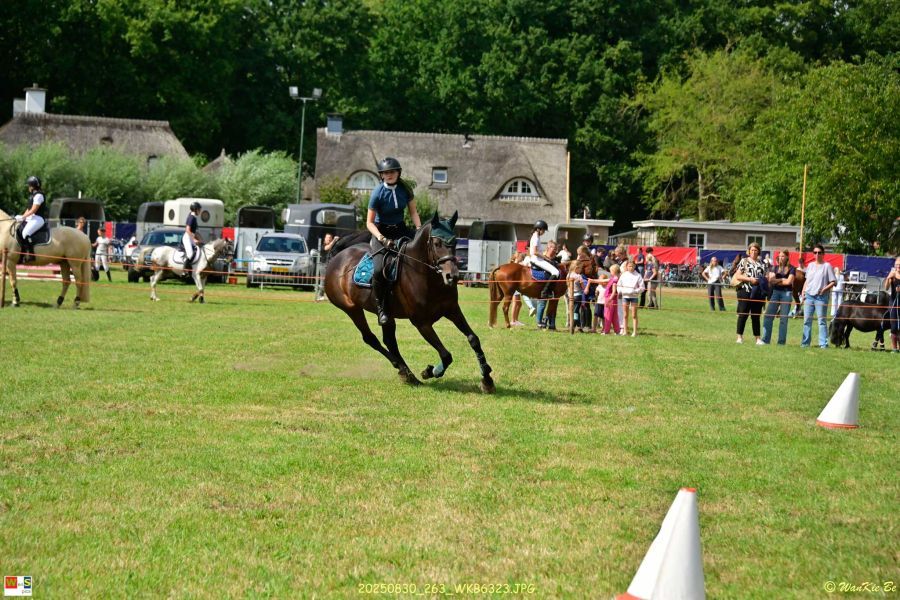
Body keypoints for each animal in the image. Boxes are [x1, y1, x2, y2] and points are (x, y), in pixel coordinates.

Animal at [324, 211, 495, 393]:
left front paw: (487, 378)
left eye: (455, 242)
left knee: (389, 341)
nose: (453, 276)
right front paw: (430, 371)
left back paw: (406, 373)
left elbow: (473, 339)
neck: (427, 277)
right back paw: (403, 369)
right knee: (370, 338)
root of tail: (337, 258)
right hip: (352, 309)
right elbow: (446, 355)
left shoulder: (452, 310)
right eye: (436, 243)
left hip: (387, 315)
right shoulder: (422, 323)